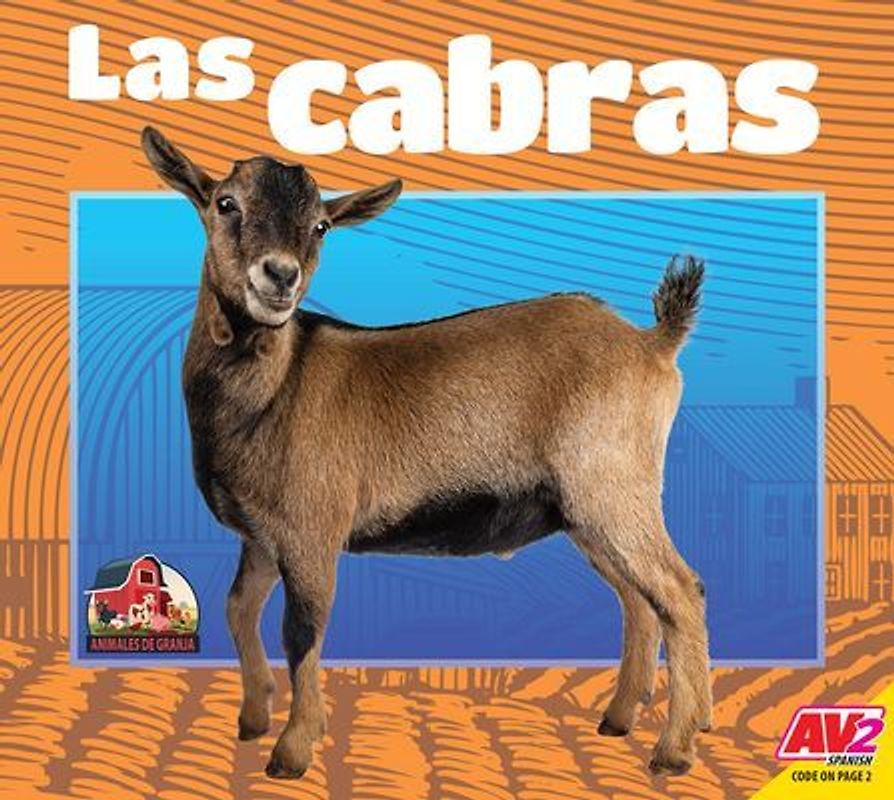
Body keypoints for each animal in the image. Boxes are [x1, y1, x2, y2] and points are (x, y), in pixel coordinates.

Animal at [140, 126, 711, 779]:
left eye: (321, 225)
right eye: (225, 203)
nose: (279, 277)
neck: (275, 389)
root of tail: (652, 344)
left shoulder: (312, 533)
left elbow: (301, 631)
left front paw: (292, 750)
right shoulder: (260, 537)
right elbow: (238, 610)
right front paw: (254, 719)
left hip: (615, 489)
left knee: (679, 591)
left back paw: (674, 748)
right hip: (587, 515)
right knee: (638, 601)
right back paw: (621, 719)